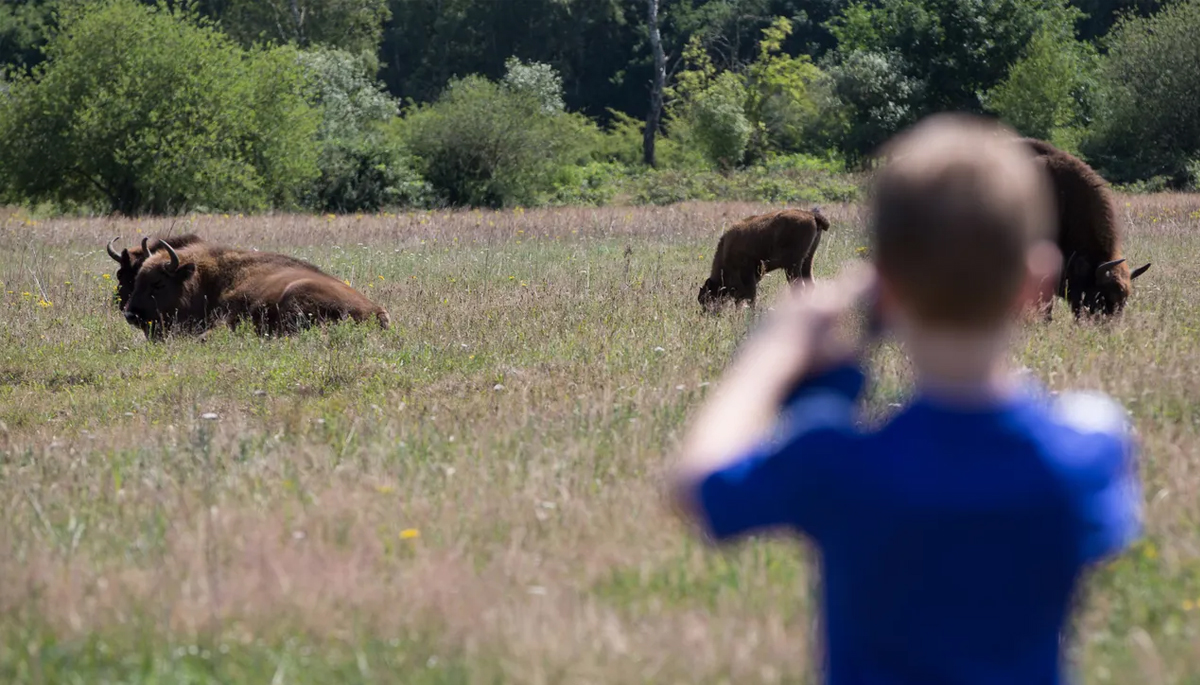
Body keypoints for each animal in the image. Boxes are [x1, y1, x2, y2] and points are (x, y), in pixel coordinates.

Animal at [700, 206, 830, 307]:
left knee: (798, 287)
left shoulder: (748, 273)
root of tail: (811, 214)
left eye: (708, 298)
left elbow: (751, 295)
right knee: (810, 284)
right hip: (807, 261)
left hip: (792, 266)